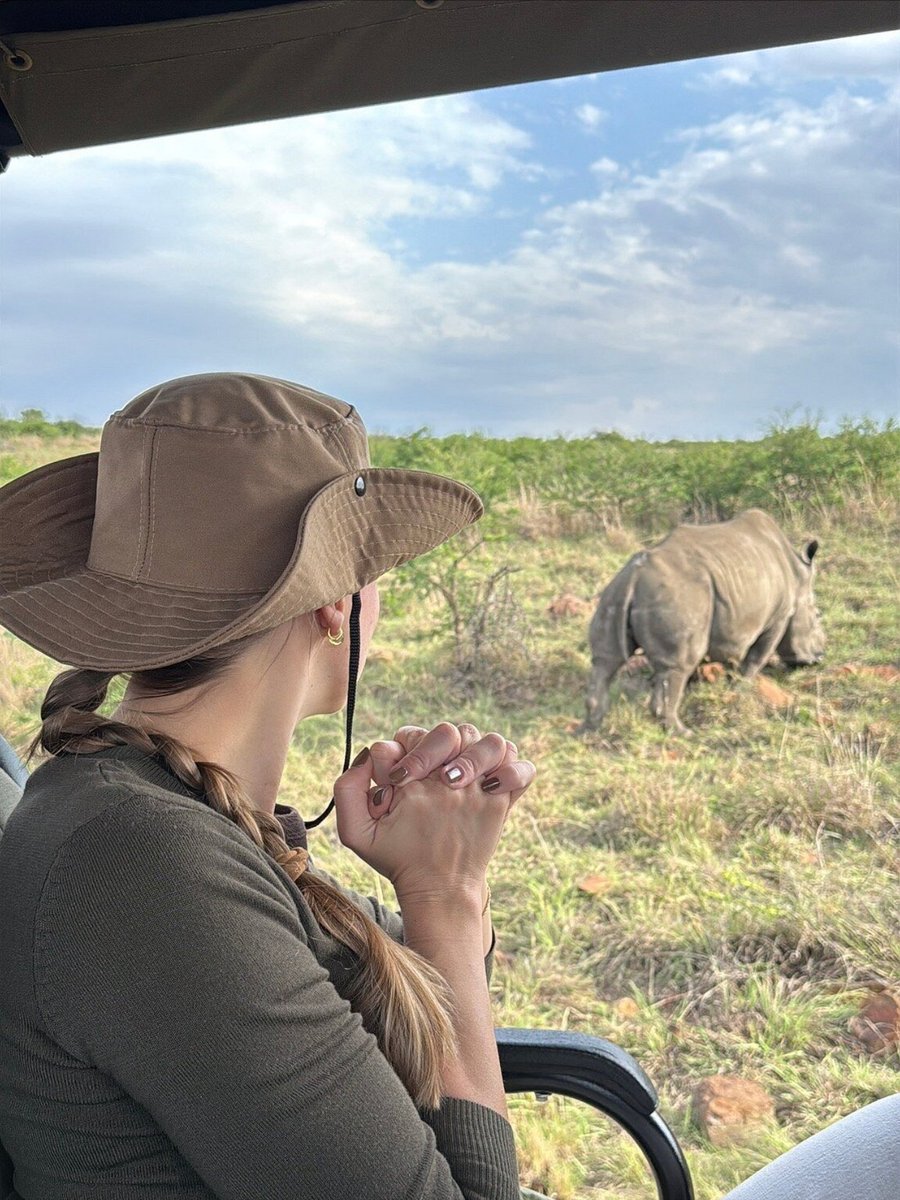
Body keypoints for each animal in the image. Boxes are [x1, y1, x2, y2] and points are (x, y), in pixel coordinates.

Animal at [584, 509, 825, 733]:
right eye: (817, 616)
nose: (819, 657)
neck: (798, 574)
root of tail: (633, 578)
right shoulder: (779, 617)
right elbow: (757, 657)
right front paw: (740, 689)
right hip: (679, 597)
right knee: (677, 666)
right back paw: (682, 732)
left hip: (615, 594)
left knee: (606, 660)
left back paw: (589, 730)